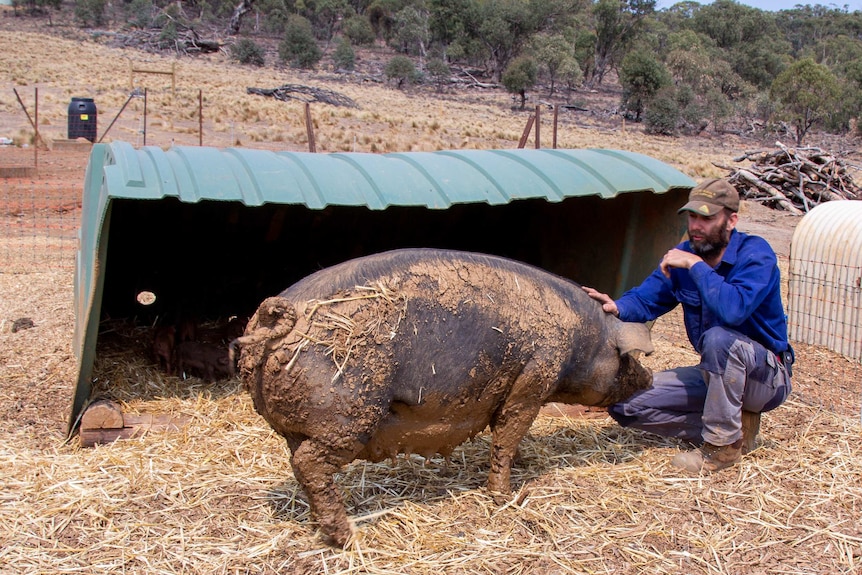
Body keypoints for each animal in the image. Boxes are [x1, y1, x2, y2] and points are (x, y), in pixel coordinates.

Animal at [233, 250, 652, 548]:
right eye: (627, 359)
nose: (649, 377)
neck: (584, 342)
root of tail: (277, 318)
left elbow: (508, 436)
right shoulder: (534, 378)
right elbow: (508, 433)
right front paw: (510, 497)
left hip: (298, 423)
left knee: (296, 460)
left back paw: (320, 526)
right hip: (347, 413)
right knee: (309, 463)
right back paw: (349, 538)